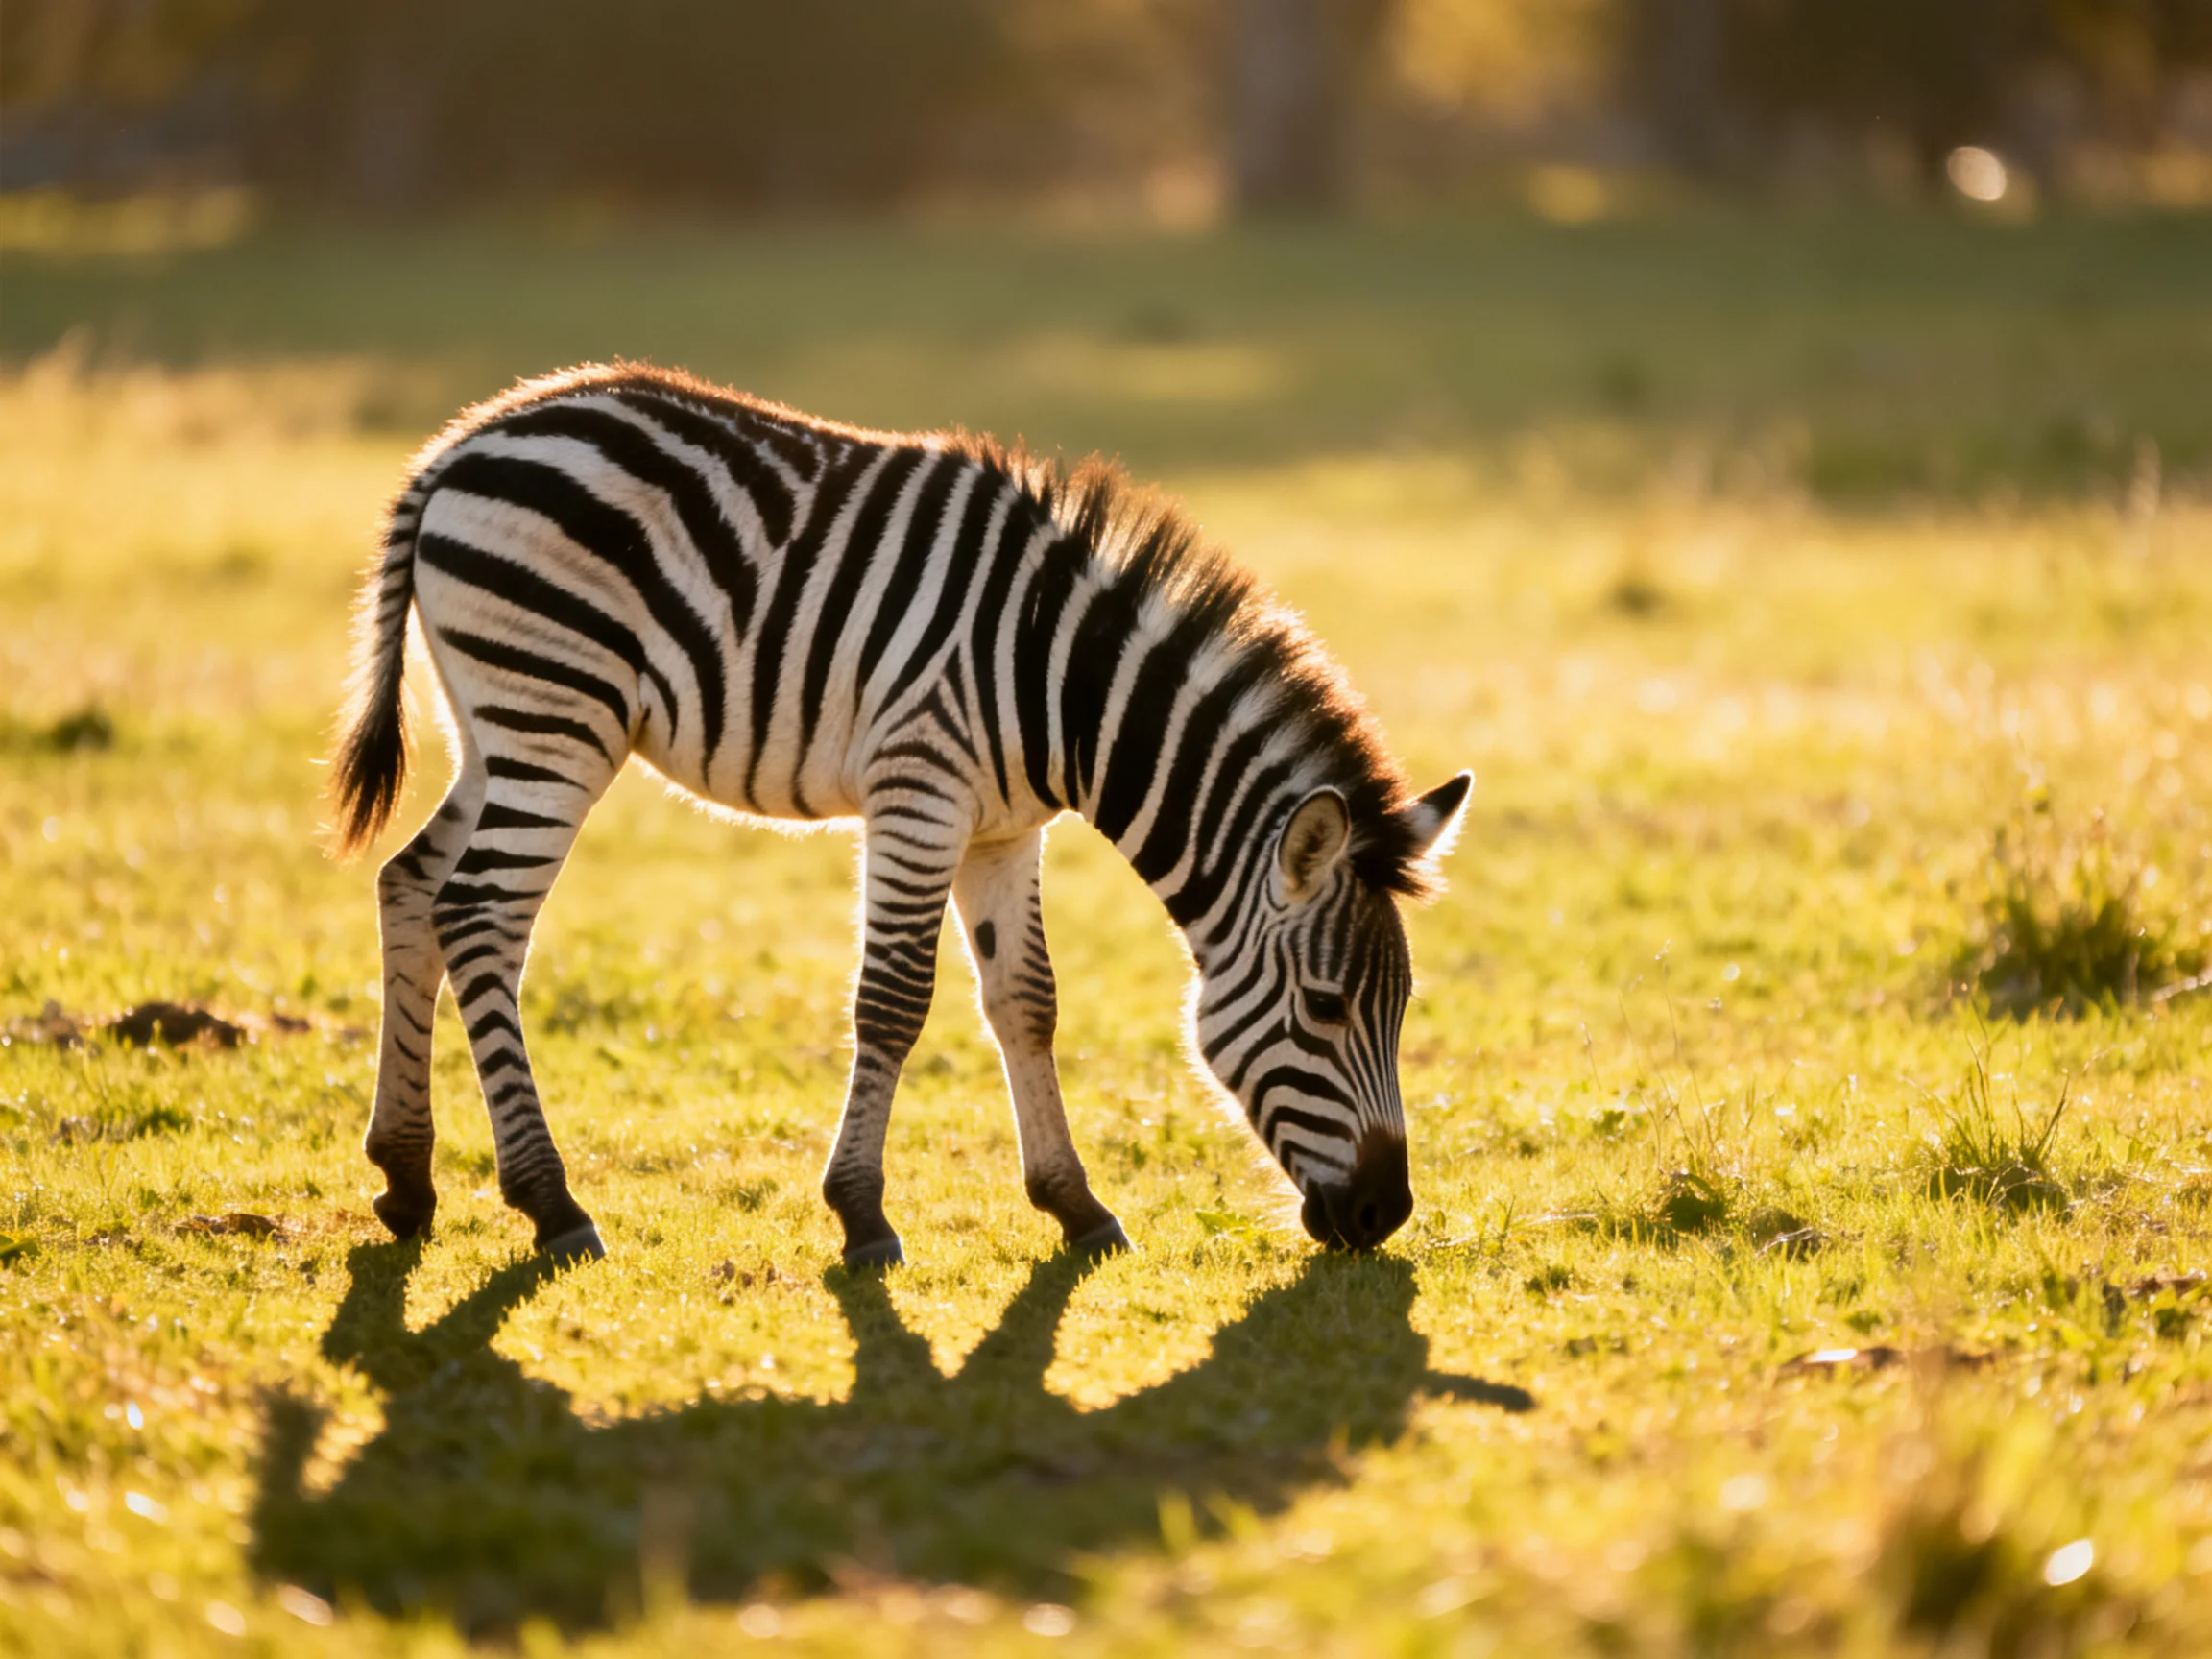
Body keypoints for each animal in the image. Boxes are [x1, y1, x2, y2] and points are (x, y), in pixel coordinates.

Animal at [331, 363, 1469, 1267]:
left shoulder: (1005, 828)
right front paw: (862, 1216)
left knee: (411, 883)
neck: (1063, 688)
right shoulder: (921, 790)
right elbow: (894, 999)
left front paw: (1075, 1208)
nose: (1384, 1215)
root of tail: (460, 444)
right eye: (1324, 1008)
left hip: (496, 724)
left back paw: (406, 1176)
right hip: (557, 716)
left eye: (1404, 1008)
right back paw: (549, 1201)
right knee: (480, 913)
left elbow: (1027, 1000)